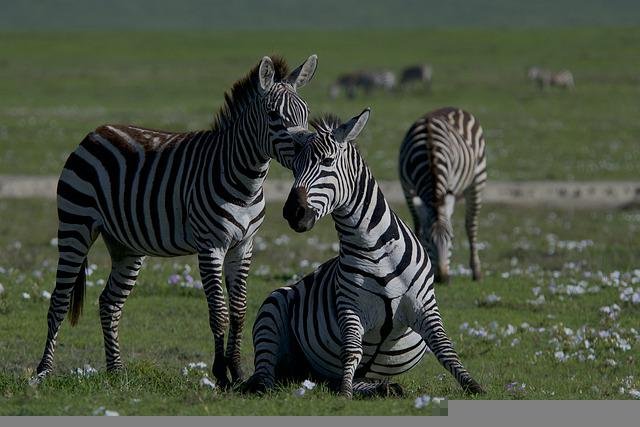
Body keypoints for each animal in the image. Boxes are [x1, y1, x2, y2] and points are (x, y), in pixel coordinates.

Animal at [398, 107, 488, 282]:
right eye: (427, 239)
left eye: (451, 239)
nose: (442, 278)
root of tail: (454, 108)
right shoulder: (407, 190)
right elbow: (417, 225)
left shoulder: (449, 185)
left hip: (478, 180)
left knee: (471, 225)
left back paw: (476, 272)